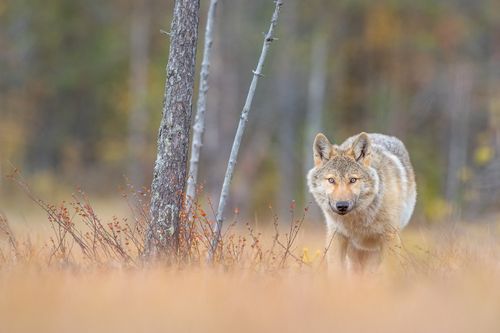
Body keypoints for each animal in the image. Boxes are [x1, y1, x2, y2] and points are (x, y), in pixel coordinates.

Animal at [306, 131, 416, 272]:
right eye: (331, 180)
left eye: (353, 180)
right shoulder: (336, 235)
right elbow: (336, 270)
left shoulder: (390, 236)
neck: (358, 221)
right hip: (354, 254)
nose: (342, 205)